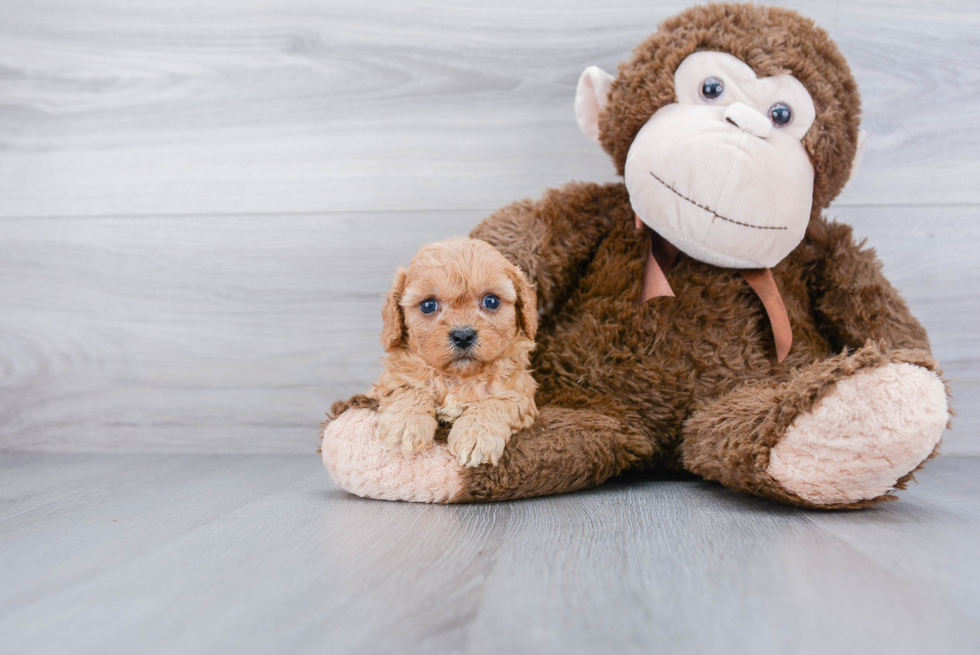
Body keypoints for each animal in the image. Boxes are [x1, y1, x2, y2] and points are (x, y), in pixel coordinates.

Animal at [366, 236, 536, 466]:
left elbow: (494, 402)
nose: (463, 335)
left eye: (492, 301)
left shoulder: (520, 393)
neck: (458, 379)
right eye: (428, 305)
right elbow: (410, 388)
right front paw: (405, 423)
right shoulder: (388, 383)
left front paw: (476, 435)